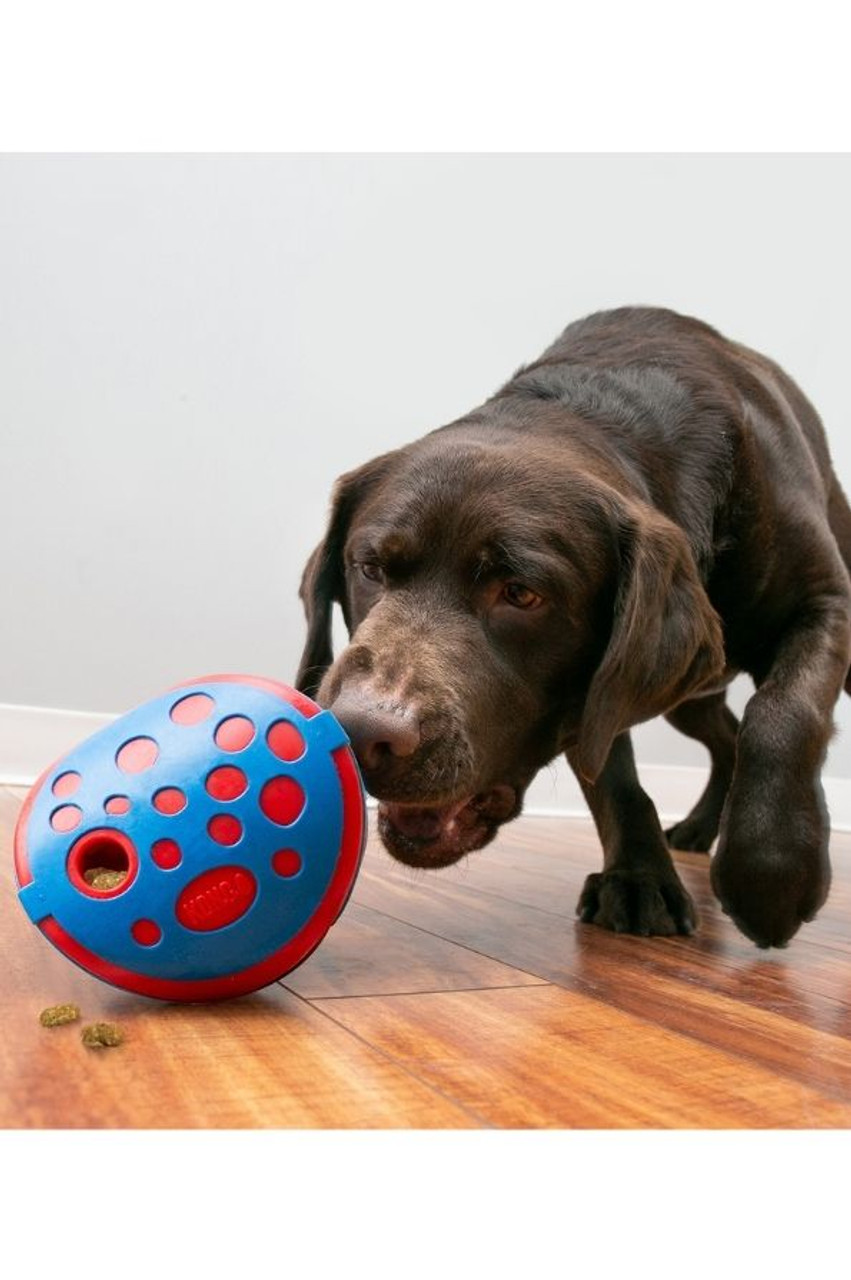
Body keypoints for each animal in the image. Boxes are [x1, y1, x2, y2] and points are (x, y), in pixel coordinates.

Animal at [294, 307, 849, 952]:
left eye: (521, 594)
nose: (360, 734)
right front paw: (638, 877)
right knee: (724, 735)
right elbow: (612, 772)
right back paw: (697, 828)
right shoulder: (605, 694)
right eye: (370, 568)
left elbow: (785, 714)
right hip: (690, 691)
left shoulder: (825, 601)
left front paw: (771, 875)